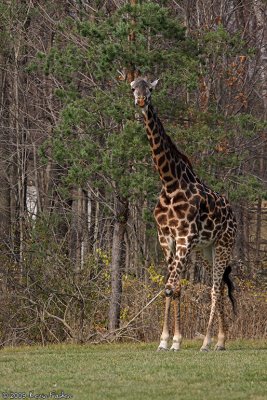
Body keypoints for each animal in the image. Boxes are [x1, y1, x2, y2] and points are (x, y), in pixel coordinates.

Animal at [131, 76, 238, 352]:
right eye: (133, 87)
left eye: (151, 89)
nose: (141, 101)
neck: (170, 183)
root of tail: (234, 215)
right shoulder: (165, 238)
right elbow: (173, 287)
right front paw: (165, 341)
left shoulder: (185, 238)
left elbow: (171, 287)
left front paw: (176, 341)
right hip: (207, 250)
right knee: (219, 287)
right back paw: (221, 341)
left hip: (223, 245)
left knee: (214, 289)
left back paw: (207, 343)